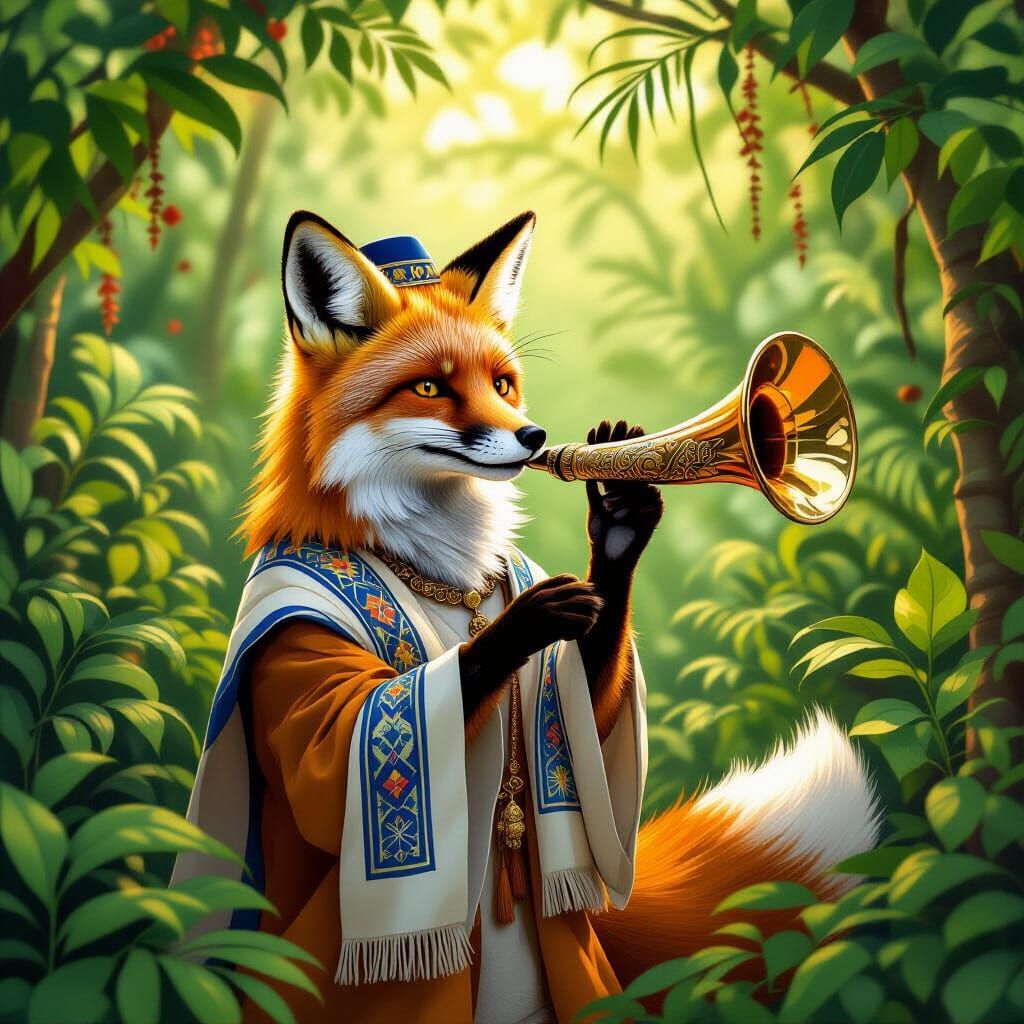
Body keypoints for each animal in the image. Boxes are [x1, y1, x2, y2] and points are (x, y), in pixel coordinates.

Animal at [184, 209, 879, 1024]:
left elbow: (584, 714)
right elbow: (341, 757)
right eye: (429, 387)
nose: (536, 438)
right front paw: (528, 619)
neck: (442, 570)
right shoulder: (291, 628)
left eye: (502, 383)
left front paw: (617, 521)